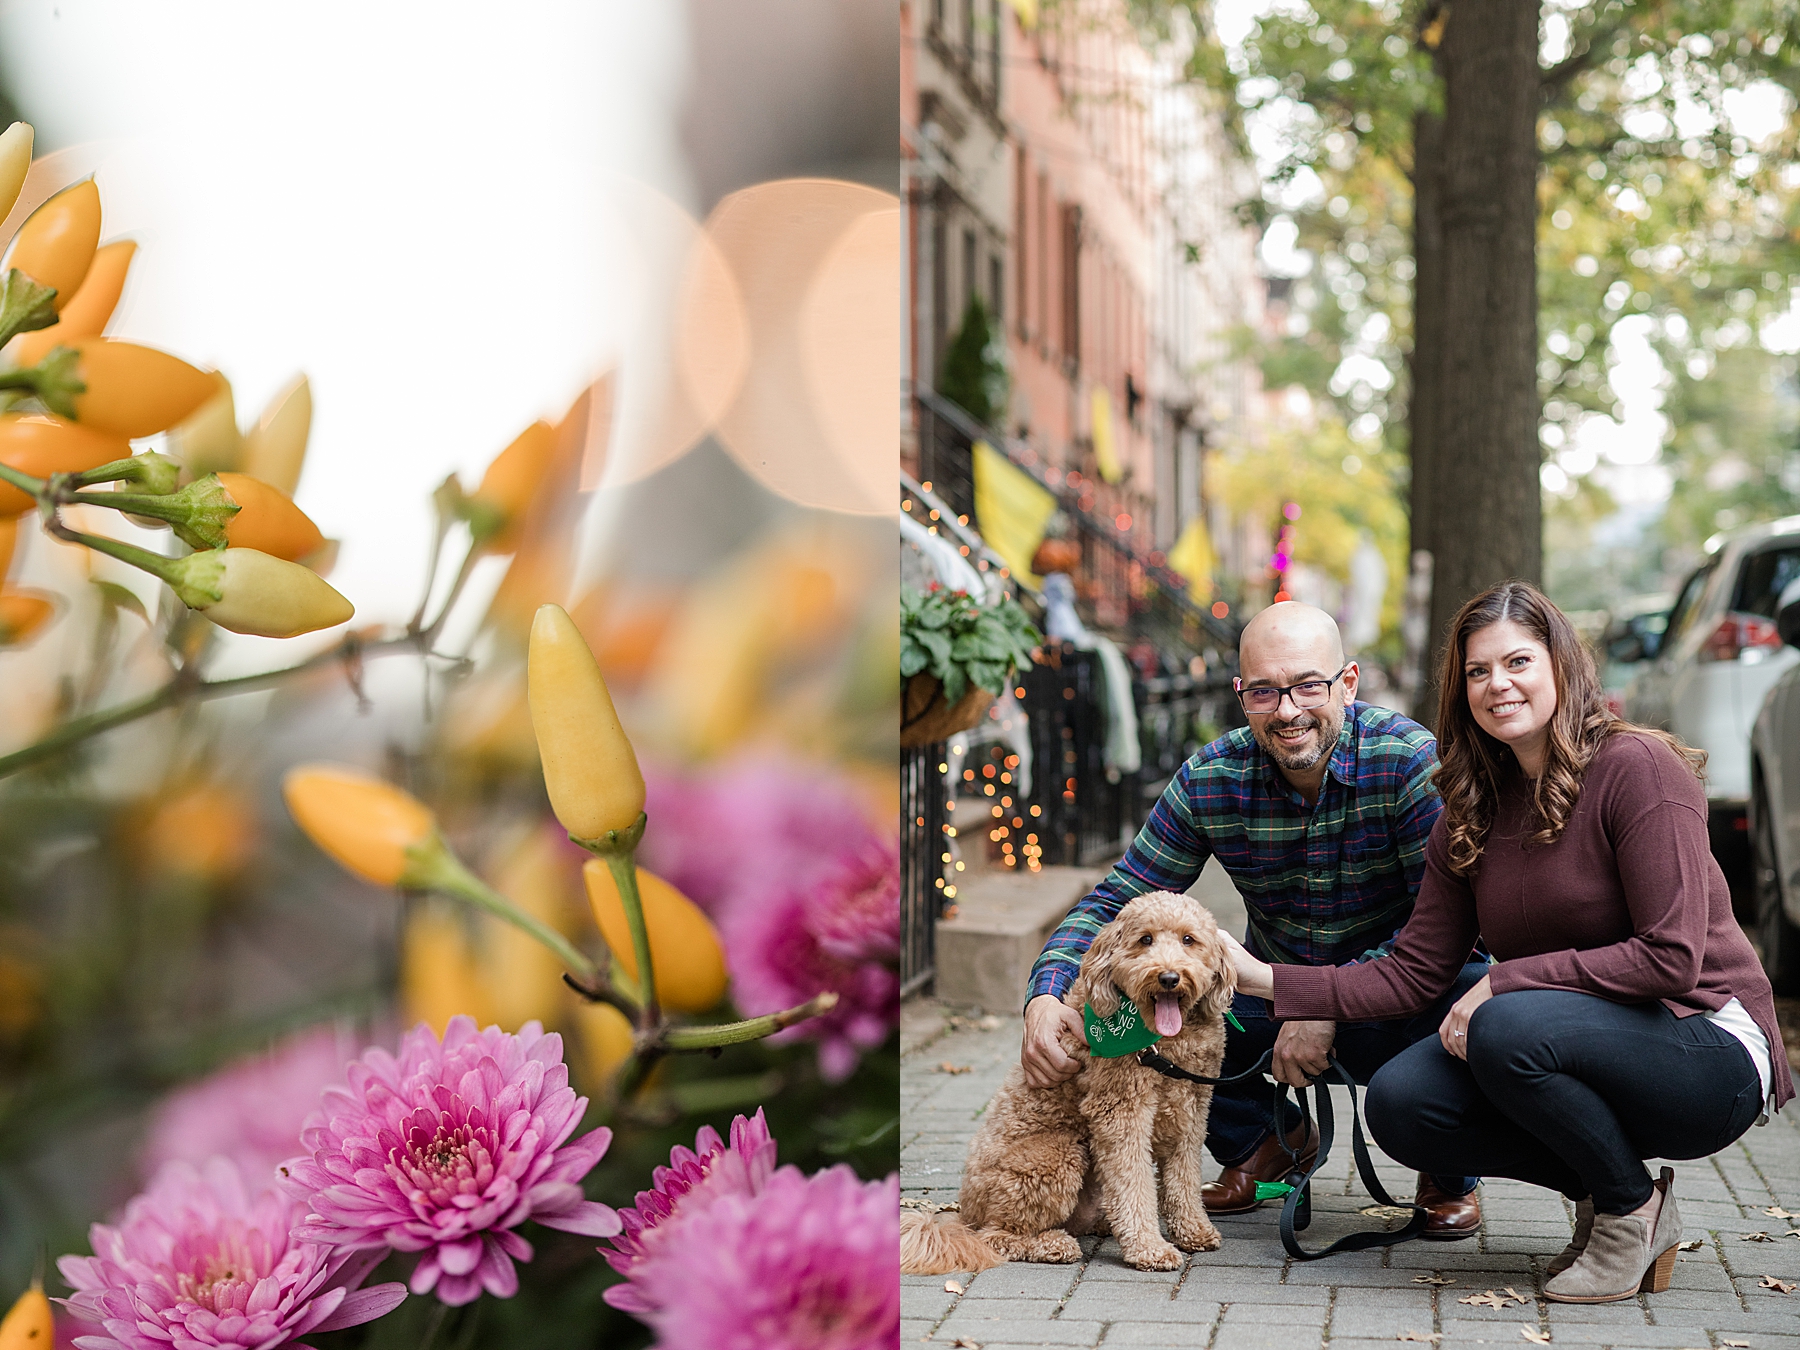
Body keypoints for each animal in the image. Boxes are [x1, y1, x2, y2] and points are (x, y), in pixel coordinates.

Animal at [900, 892, 1238, 1274]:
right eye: (1145, 940)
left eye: (1188, 940)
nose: (1168, 977)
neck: (1163, 1042)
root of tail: (965, 1213)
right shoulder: (1121, 1112)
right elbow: (1133, 1183)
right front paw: (1149, 1248)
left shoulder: (1192, 1108)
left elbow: (1184, 1178)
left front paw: (1193, 1229)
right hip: (1054, 1155)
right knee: (996, 1235)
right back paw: (1052, 1244)